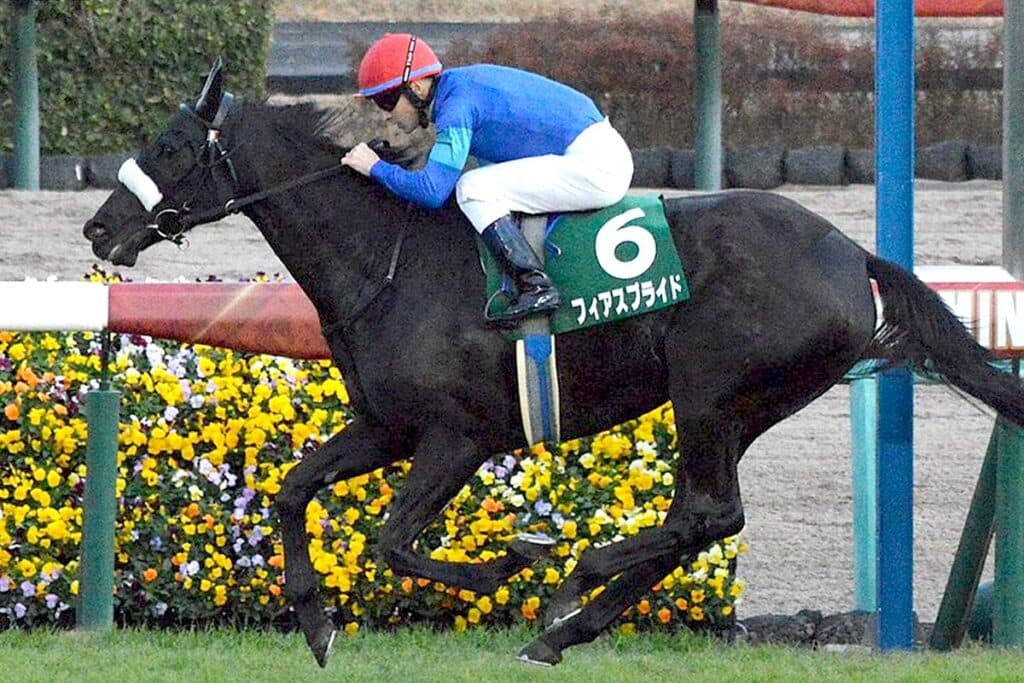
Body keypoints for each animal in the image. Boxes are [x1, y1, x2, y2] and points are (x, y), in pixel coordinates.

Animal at [83, 63, 1024, 666]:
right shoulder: (388, 425)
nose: (97, 228)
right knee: (700, 518)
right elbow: (290, 490)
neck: (387, 255)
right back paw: (563, 627)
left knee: (709, 513)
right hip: (735, 406)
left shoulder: (460, 434)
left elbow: (392, 540)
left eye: (171, 146)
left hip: (711, 388)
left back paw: (574, 578)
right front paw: (315, 623)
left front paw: (512, 560)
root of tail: (851, 251)